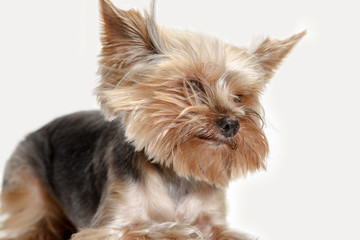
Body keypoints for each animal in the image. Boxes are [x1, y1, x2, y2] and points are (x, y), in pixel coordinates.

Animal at [0, 0, 306, 239]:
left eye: (240, 97)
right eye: (192, 85)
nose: (231, 124)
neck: (175, 174)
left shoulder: (215, 219)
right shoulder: (108, 225)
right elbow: (150, 229)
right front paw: (182, 230)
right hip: (28, 184)